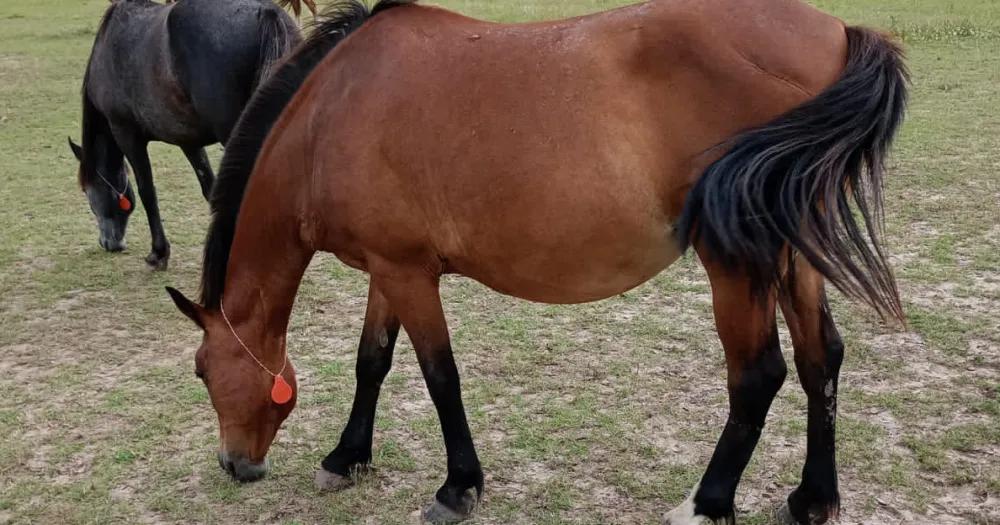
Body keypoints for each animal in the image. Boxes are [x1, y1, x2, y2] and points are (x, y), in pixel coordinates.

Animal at [70, 0, 298, 270]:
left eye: (87, 191)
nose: (107, 243)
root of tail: (265, 12)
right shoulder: (188, 141)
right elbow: (210, 188)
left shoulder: (126, 134)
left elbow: (147, 192)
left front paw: (159, 252)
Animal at [168, 2, 912, 520]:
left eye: (203, 371)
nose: (234, 465)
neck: (331, 116)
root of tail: (837, 32)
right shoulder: (390, 267)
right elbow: (372, 361)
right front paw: (347, 456)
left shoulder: (408, 274)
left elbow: (440, 376)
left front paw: (458, 487)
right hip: (792, 253)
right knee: (821, 359)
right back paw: (813, 498)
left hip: (734, 263)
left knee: (758, 375)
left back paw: (707, 504)